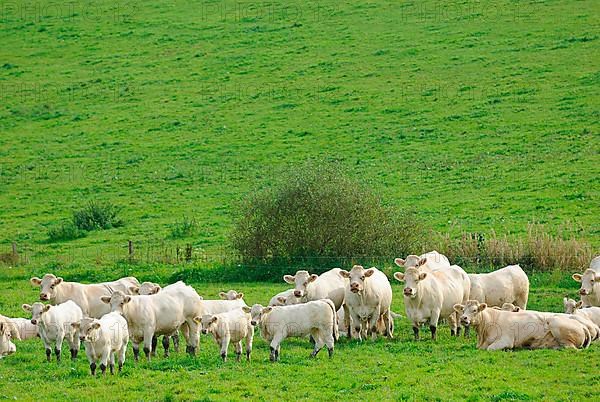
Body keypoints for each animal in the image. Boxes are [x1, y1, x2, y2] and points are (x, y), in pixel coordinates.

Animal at [454, 300, 592, 350]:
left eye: (474, 310)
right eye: (463, 310)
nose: (463, 318)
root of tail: (582, 325)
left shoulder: (505, 340)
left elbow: (490, 348)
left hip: (556, 324)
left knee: (571, 348)